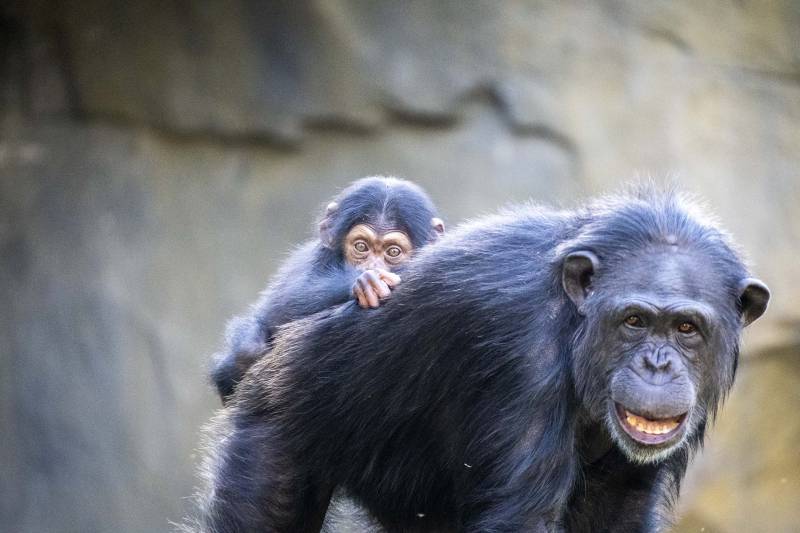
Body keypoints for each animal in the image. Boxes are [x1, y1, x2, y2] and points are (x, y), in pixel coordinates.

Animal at [209, 176, 446, 404]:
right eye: (361, 246)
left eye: (393, 252)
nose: (371, 267)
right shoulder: (307, 264)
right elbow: (293, 298)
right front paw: (365, 282)